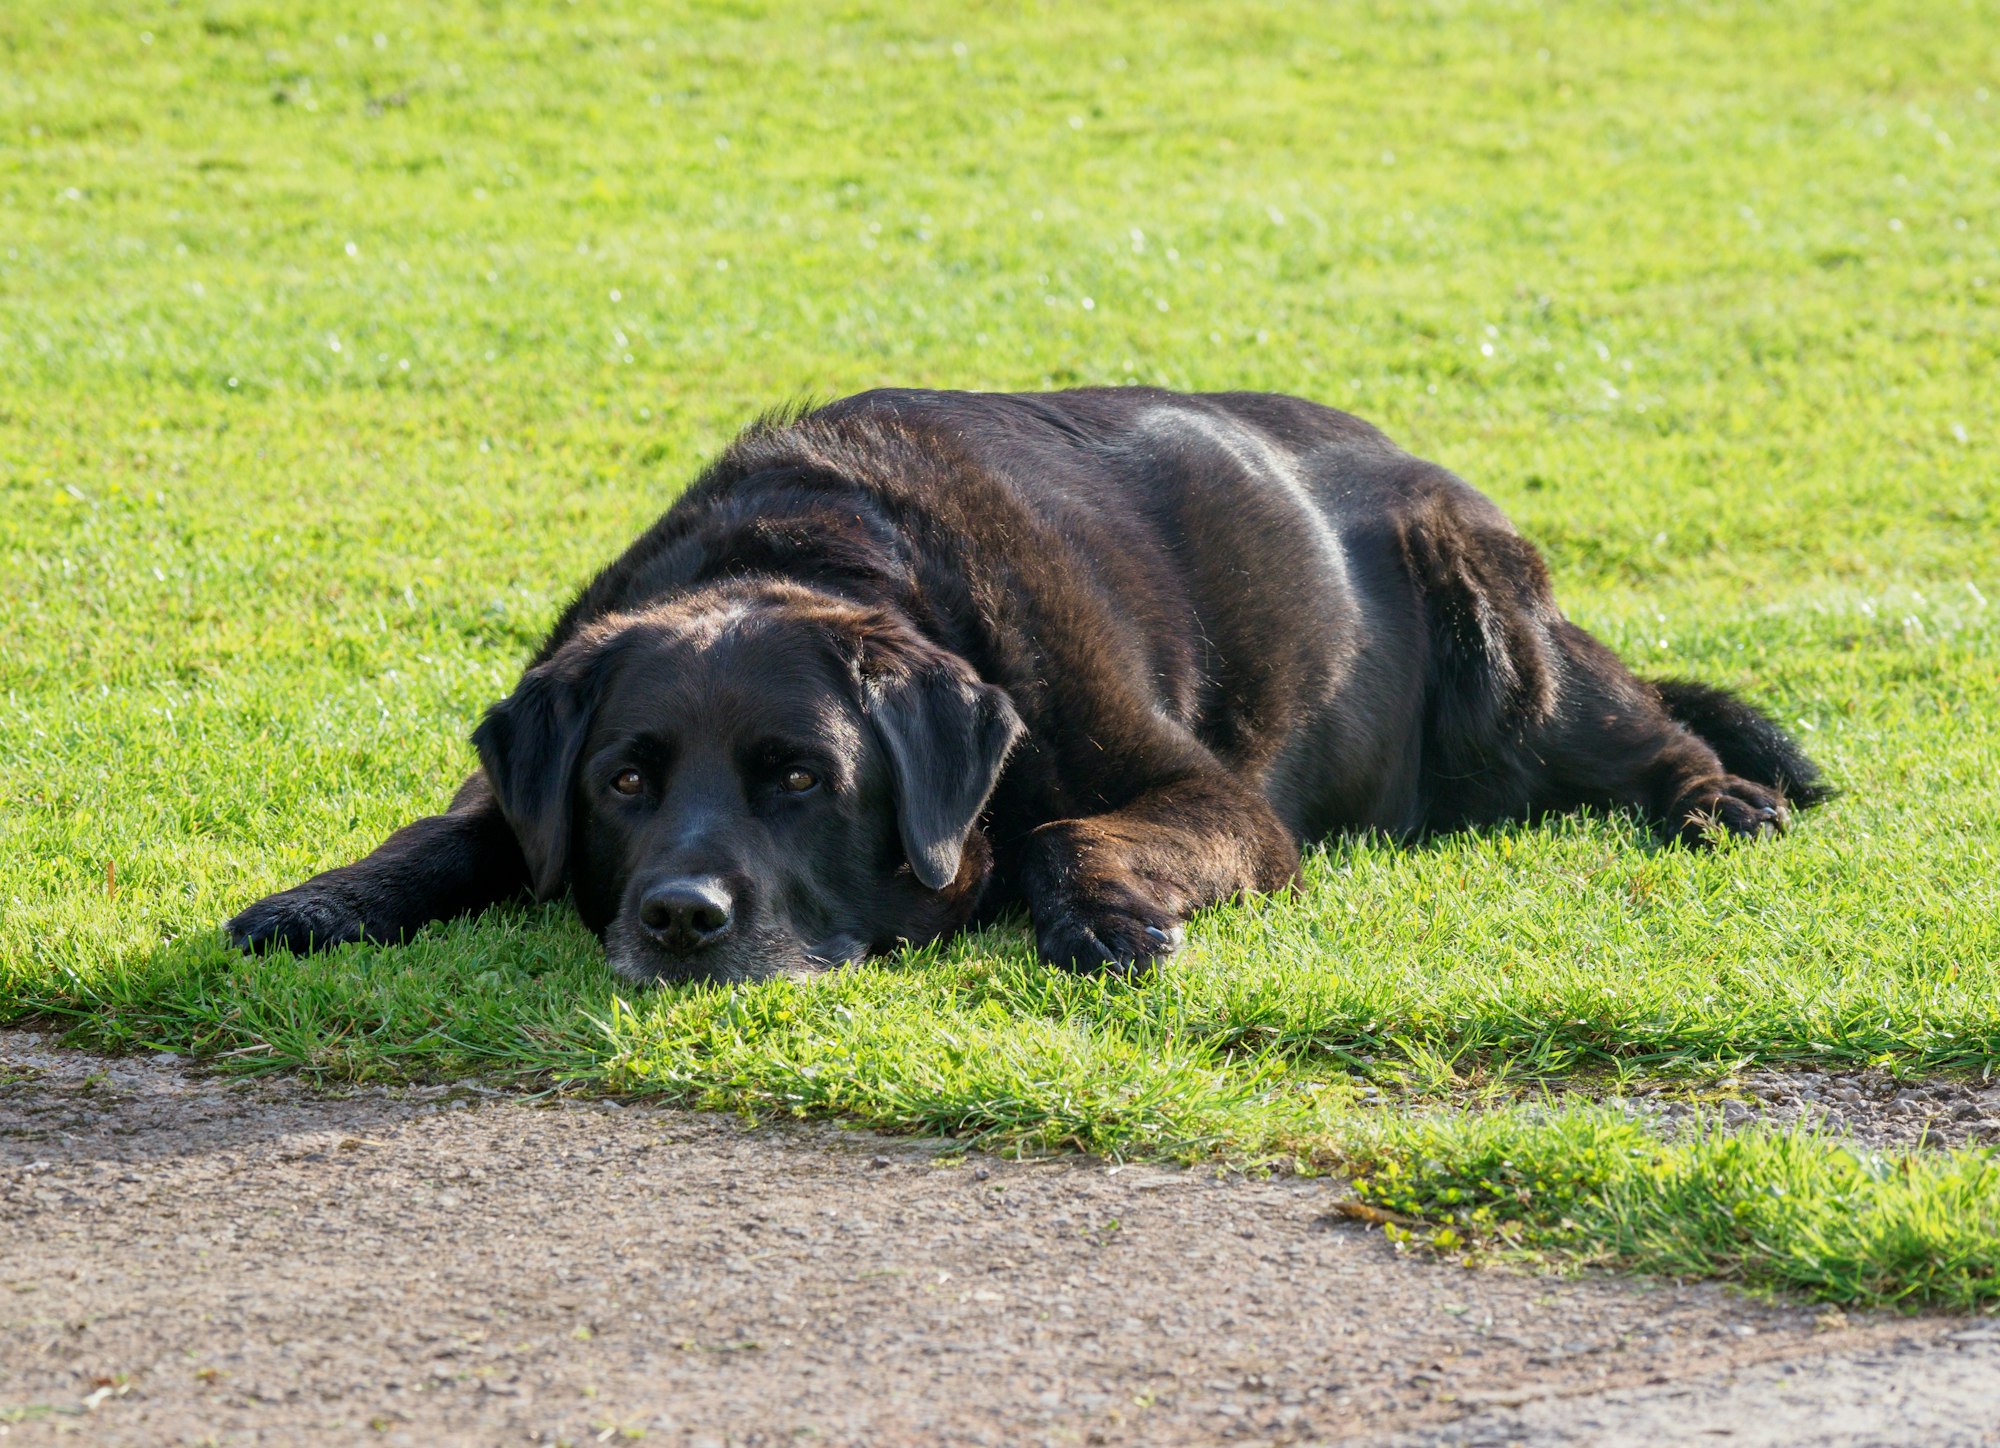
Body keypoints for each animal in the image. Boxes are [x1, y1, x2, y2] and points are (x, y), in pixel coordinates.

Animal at [230, 382, 1832, 984]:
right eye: (626, 781)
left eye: (799, 779)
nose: (679, 919)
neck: (815, 542)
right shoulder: (515, 776)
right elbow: (443, 831)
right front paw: (321, 897)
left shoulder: (1218, 807)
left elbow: (1071, 832)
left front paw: (1102, 915)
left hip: (1503, 642)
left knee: (1646, 733)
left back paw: (1722, 800)